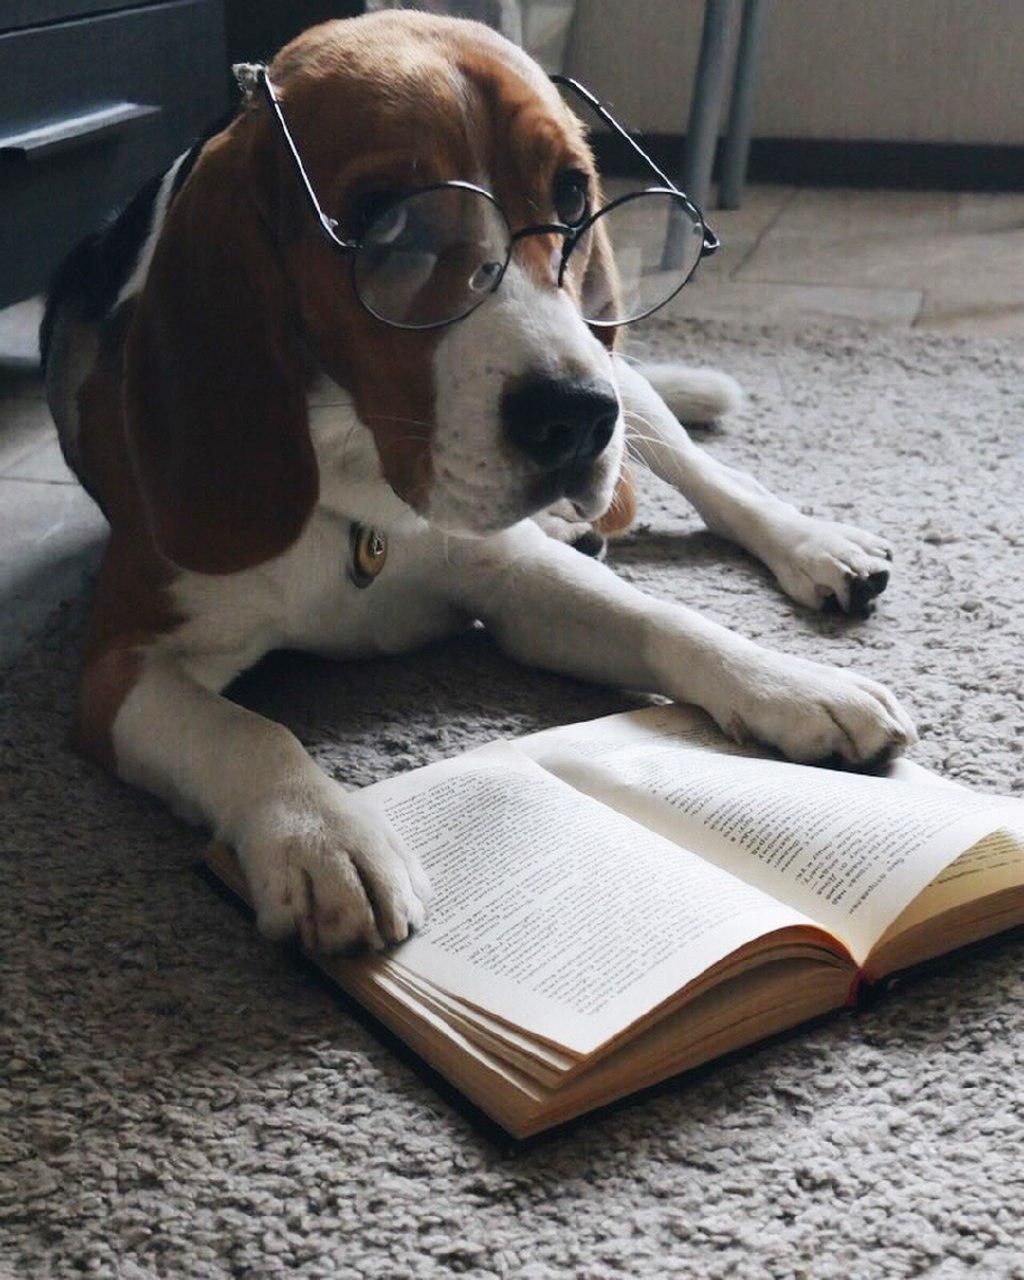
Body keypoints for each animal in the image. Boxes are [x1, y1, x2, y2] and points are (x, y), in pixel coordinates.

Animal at [40, 10, 911, 952]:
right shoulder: (120, 665)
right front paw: (322, 834)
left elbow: (664, 620)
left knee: (709, 475)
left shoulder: (518, 576)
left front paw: (789, 683)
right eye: (381, 219)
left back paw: (811, 546)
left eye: (572, 197)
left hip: (618, 369)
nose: (575, 418)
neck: (365, 500)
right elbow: (248, 733)